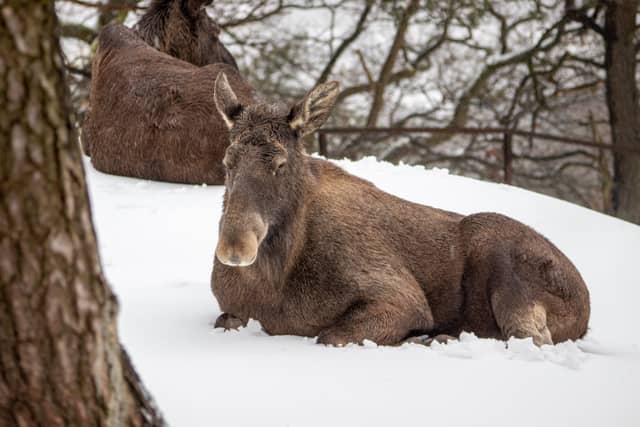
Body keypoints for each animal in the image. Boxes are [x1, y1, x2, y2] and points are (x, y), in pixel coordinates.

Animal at [210, 73, 591, 347]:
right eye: (227, 162)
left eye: (280, 164)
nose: (234, 246)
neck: (276, 279)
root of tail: (586, 306)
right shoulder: (233, 312)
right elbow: (225, 320)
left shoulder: (402, 300)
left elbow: (330, 335)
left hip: (506, 267)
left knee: (531, 339)